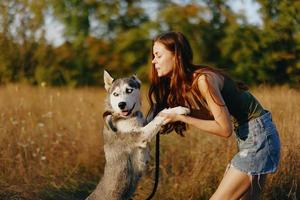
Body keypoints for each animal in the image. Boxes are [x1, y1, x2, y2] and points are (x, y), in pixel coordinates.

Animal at [85, 70, 190, 200]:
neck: (129, 117)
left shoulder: (144, 125)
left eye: (129, 90)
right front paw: (178, 109)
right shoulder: (141, 135)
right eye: (115, 94)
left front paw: (161, 102)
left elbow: (155, 114)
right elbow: (158, 117)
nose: (121, 104)